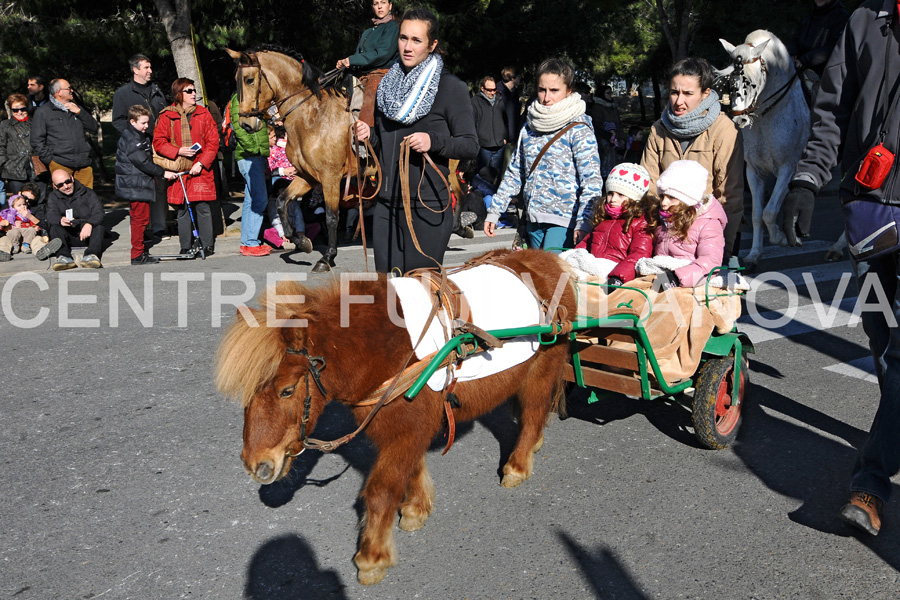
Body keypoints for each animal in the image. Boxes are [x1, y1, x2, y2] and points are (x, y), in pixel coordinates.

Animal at [220, 250, 576, 584]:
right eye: (247, 393)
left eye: (287, 390)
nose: (256, 465)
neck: (383, 348)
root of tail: (549, 260)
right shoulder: (403, 429)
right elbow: (411, 471)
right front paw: (416, 509)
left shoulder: (406, 429)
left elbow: (380, 492)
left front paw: (372, 558)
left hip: (542, 368)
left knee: (533, 413)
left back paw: (518, 465)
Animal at [716, 30, 808, 270]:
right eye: (730, 84)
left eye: (752, 83)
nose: (740, 119)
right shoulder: (754, 171)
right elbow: (758, 214)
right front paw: (755, 254)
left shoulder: (787, 168)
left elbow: (770, 211)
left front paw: (781, 238)